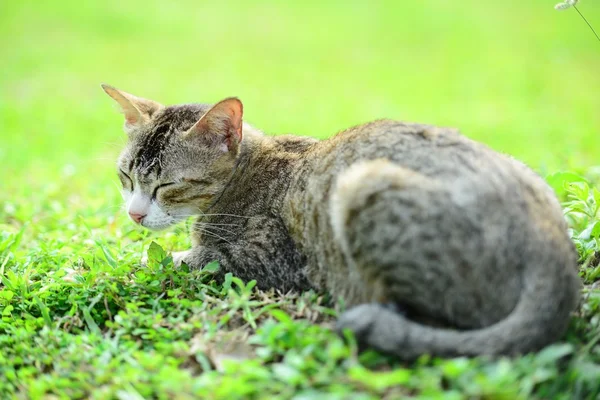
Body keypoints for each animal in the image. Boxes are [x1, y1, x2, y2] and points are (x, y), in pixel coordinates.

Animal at [101, 84, 580, 360]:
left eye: (167, 186)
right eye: (126, 177)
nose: (135, 213)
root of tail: (552, 249)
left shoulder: (265, 261)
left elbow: (180, 260)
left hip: (362, 187)